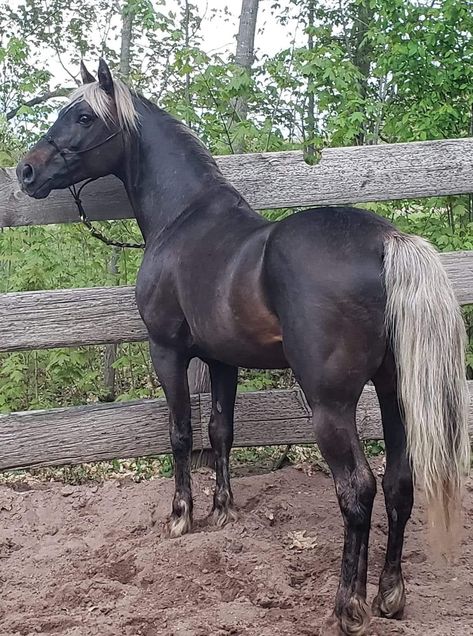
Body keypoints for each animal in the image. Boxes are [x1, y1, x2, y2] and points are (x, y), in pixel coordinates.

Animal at [15, 59, 468, 636]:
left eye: (82, 116)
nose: (27, 171)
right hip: (394, 392)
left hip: (331, 405)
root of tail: (387, 241)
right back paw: (390, 596)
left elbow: (181, 433)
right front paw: (223, 511)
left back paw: (348, 605)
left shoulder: (167, 352)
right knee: (398, 483)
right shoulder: (221, 360)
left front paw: (181, 516)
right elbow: (221, 431)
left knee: (358, 490)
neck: (184, 219)